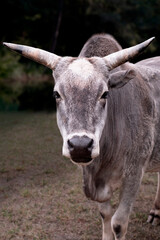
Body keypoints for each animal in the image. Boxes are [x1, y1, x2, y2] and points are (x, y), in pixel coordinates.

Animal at [3, 33, 160, 240]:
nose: (80, 146)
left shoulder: (135, 172)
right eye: (56, 94)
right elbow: (105, 214)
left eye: (105, 93)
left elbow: (118, 223)